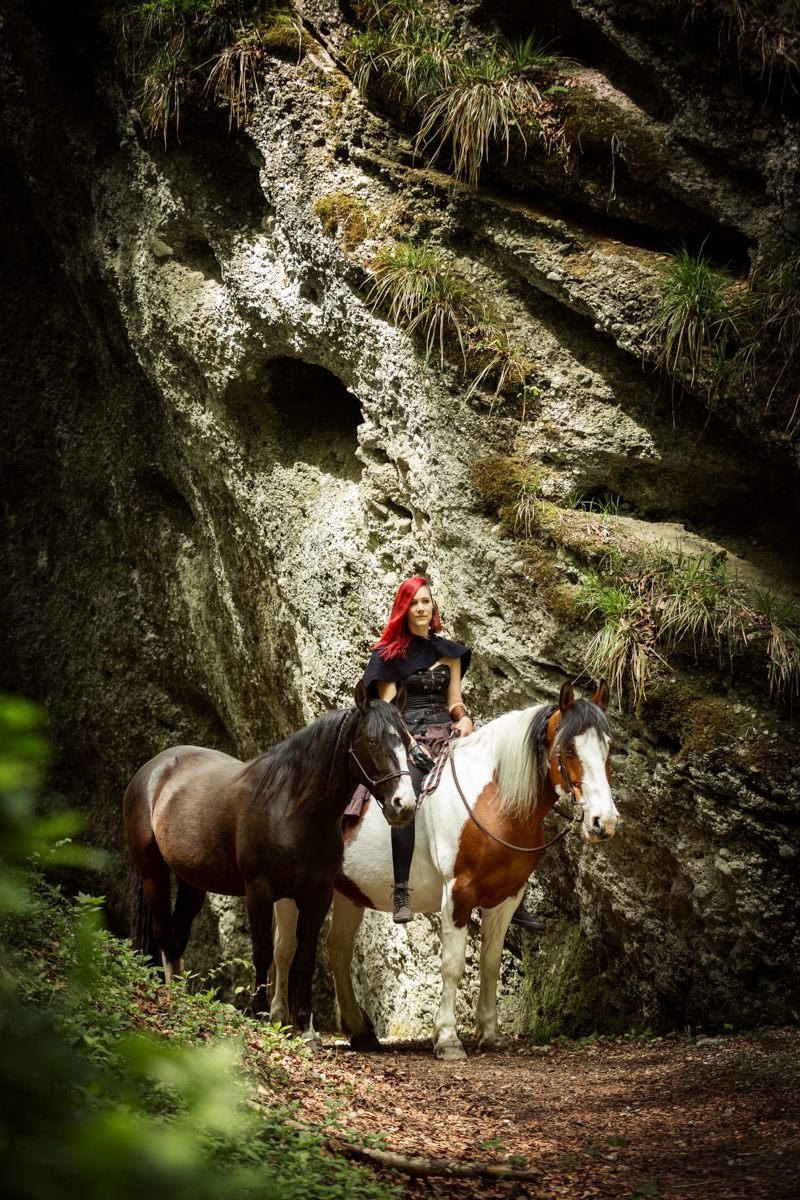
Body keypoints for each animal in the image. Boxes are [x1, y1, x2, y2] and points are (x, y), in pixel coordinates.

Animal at [125, 681, 417, 1046]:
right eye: (374, 741)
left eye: (407, 740)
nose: (404, 805)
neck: (292, 811)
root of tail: (152, 769)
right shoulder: (260, 893)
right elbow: (263, 952)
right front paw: (261, 1016)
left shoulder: (317, 896)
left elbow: (305, 958)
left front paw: (306, 1029)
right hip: (153, 873)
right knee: (164, 934)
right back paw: (172, 997)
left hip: (192, 884)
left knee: (178, 935)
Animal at [272, 681, 618, 1065]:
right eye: (569, 748)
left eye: (609, 746)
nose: (604, 822)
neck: (494, 801)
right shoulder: (458, 893)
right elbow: (453, 965)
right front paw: (448, 1039)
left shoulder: (506, 899)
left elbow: (490, 964)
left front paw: (491, 1034)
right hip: (292, 893)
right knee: (285, 948)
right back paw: (280, 1020)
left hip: (348, 893)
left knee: (338, 951)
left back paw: (359, 1031)